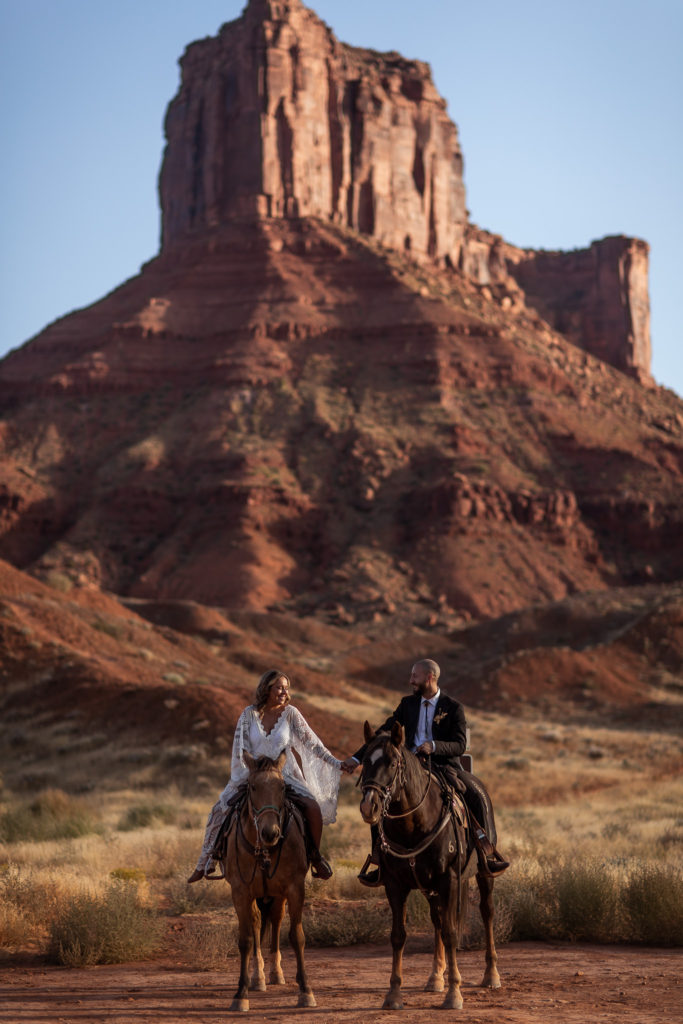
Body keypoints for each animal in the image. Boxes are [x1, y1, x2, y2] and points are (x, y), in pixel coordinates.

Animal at [223, 749, 319, 1011]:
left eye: (283, 787)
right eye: (253, 786)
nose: (270, 833)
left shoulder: (295, 888)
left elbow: (297, 937)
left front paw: (306, 991)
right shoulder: (240, 891)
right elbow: (245, 939)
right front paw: (241, 994)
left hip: (277, 893)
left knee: (275, 920)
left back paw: (276, 973)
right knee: (257, 923)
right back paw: (259, 978)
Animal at [358, 724, 501, 1011]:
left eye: (392, 763)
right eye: (365, 761)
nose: (369, 805)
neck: (414, 825)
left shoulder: (449, 880)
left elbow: (451, 932)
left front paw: (454, 994)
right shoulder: (395, 885)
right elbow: (399, 936)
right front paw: (394, 994)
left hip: (483, 874)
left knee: (486, 912)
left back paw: (491, 975)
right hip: (429, 888)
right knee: (437, 919)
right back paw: (435, 977)